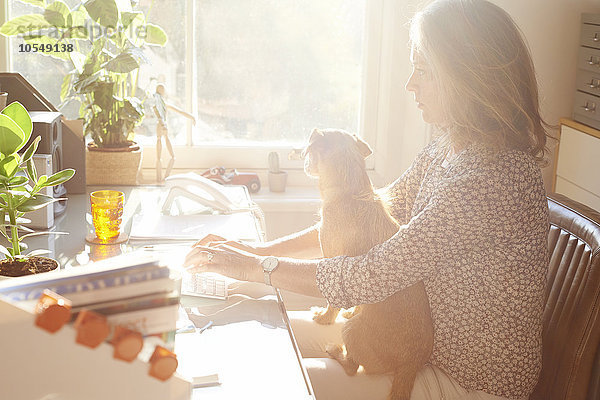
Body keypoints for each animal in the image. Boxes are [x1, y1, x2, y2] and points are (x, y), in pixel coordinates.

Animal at [304, 129, 432, 400]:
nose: (304, 161)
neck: (350, 192)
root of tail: (412, 363)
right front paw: (353, 308)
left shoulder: (331, 260)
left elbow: (332, 302)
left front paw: (325, 316)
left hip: (350, 331)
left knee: (353, 367)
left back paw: (336, 352)